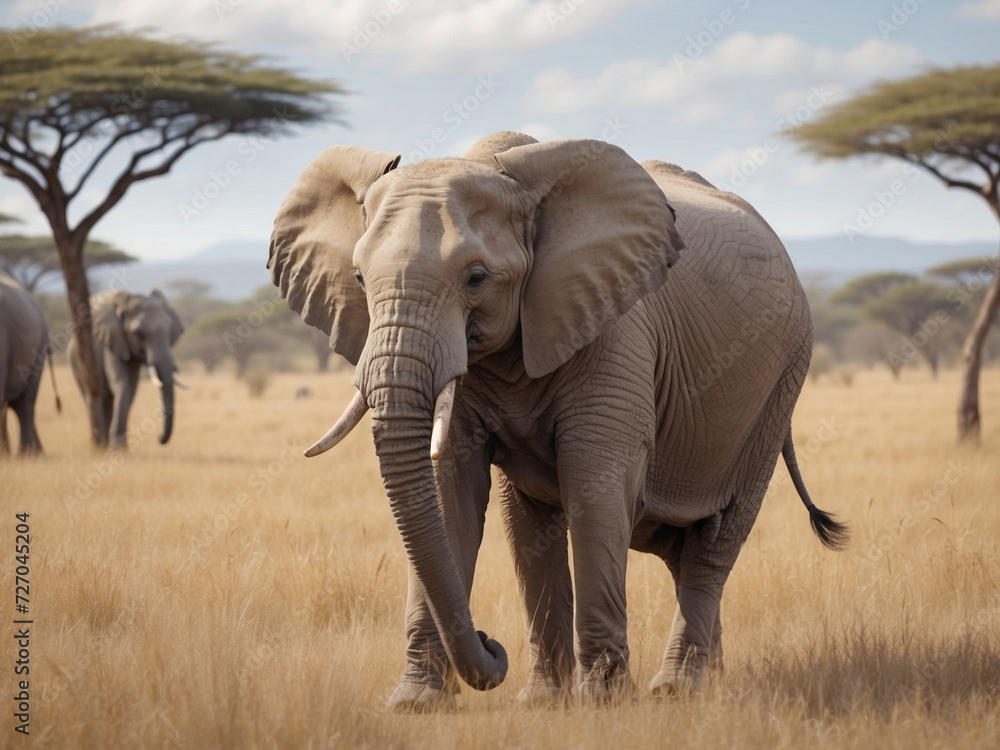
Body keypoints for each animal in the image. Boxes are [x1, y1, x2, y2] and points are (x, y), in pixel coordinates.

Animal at [68, 289, 184, 449]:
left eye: (168, 331)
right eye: (139, 334)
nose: (159, 437)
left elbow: (131, 388)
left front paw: (120, 448)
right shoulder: (112, 340)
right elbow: (121, 382)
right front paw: (117, 449)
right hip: (76, 361)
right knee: (91, 396)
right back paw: (100, 444)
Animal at [268, 131, 848, 708]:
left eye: (476, 278)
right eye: (359, 278)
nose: (490, 643)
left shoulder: (614, 326)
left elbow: (594, 488)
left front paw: (601, 703)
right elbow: (456, 492)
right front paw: (435, 705)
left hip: (781, 384)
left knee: (716, 540)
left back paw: (675, 690)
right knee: (666, 547)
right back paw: (709, 682)